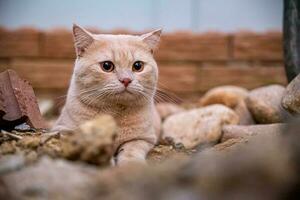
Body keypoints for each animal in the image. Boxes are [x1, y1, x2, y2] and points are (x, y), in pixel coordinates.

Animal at [52, 24, 163, 165]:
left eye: (138, 66)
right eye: (107, 66)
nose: (126, 80)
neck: (114, 114)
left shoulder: (144, 138)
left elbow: (131, 149)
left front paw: (131, 164)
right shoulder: (63, 131)